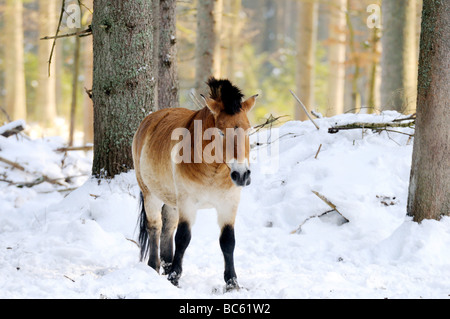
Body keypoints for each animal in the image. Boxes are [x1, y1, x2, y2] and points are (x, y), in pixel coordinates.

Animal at [132, 77, 256, 290]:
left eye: (248, 131)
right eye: (221, 132)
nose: (241, 174)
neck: (213, 169)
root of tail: (148, 121)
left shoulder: (228, 204)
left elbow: (228, 241)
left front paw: (232, 283)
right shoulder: (188, 203)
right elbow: (183, 238)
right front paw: (174, 277)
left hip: (171, 201)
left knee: (167, 229)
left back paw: (166, 265)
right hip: (151, 195)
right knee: (155, 228)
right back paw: (154, 267)